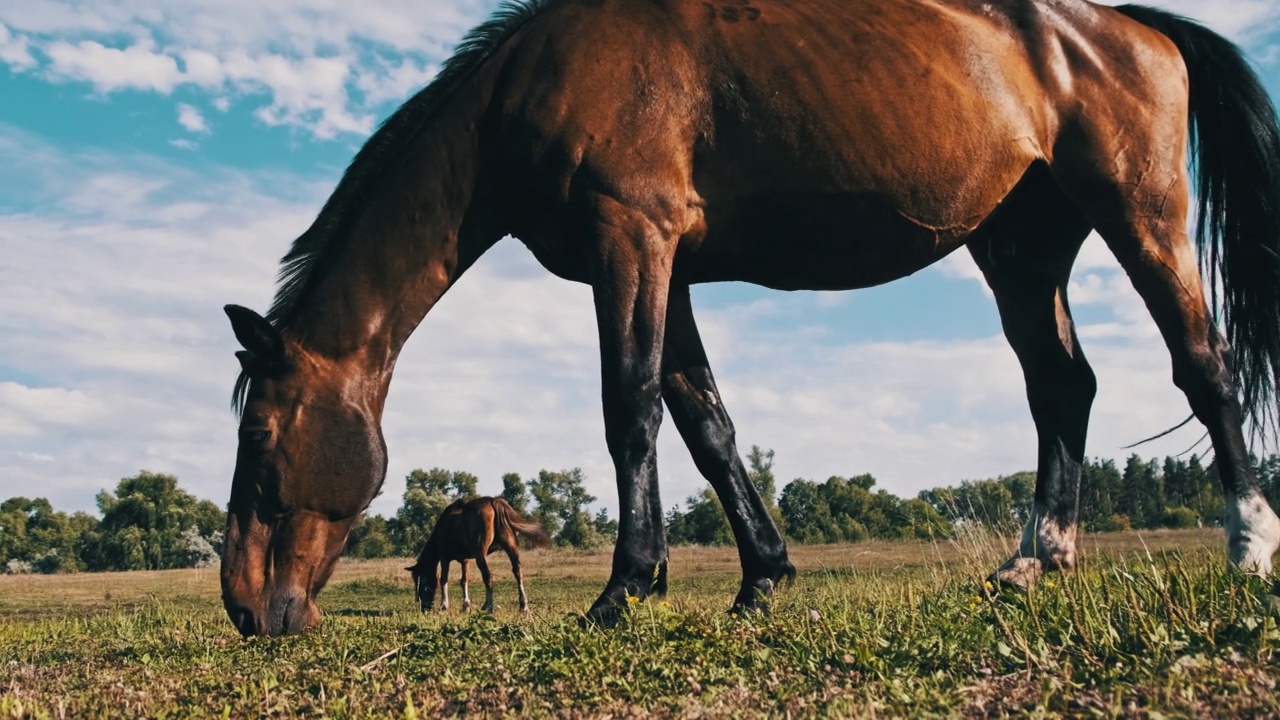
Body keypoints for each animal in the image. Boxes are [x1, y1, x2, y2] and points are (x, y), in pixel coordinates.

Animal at [404, 497, 550, 607]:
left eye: (421, 579)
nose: (424, 606)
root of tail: (493, 501)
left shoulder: (444, 558)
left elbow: (443, 579)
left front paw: (444, 606)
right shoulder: (465, 560)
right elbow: (464, 580)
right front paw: (466, 606)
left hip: (481, 553)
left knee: (488, 577)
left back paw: (488, 606)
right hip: (511, 546)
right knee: (517, 571)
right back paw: (523, 605)